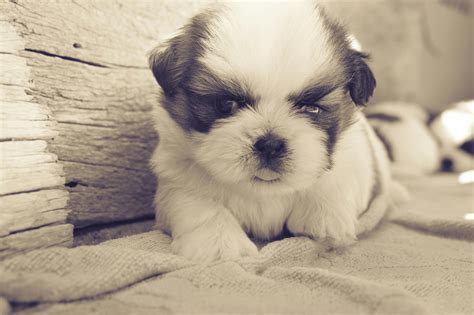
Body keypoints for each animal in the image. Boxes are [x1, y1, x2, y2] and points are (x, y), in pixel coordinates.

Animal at [148, 1, 392, 264]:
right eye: (226, 104)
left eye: (311, 108)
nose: (270, 144)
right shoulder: (177, 178)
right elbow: (198, 203)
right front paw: (218, 242)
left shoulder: (355, 157)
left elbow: (335, 178)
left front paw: (323, 216)